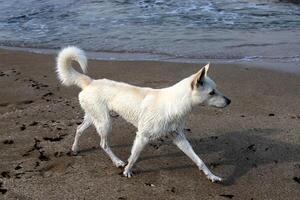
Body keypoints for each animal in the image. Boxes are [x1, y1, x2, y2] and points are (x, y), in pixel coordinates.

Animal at [55, 46, 230, 182]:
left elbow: (198, 160)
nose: (229, 101)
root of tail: (90, 82)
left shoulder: (179, 138)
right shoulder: (142, 136)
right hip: (105, 122)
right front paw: (127, 171)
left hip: (94, 117)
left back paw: (75, 149)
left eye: (216, 89)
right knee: (103, 144)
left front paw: (211, 176)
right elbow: (134, 157)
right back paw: (117, 161)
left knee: (79, 129)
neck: (175, 103)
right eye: (212, 92)